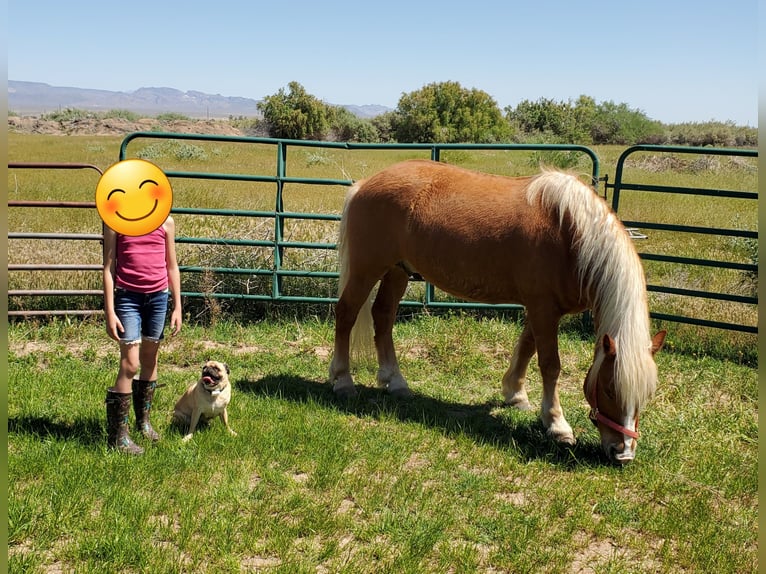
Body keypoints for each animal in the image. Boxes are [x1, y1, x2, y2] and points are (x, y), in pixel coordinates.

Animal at [330, 160, 664, 466]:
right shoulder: (543, 308)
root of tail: (364, 184)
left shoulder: (542, 309)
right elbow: (550, 365)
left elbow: (527, 348)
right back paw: (342, 381)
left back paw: (395, 382)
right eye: (609, 389)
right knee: (346, 314)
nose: (623, 453)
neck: (570, 234)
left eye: (647, 394)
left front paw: (516, 395)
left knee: (383, 316)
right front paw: (557, 425)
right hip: (366, 268)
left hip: (398, 271)